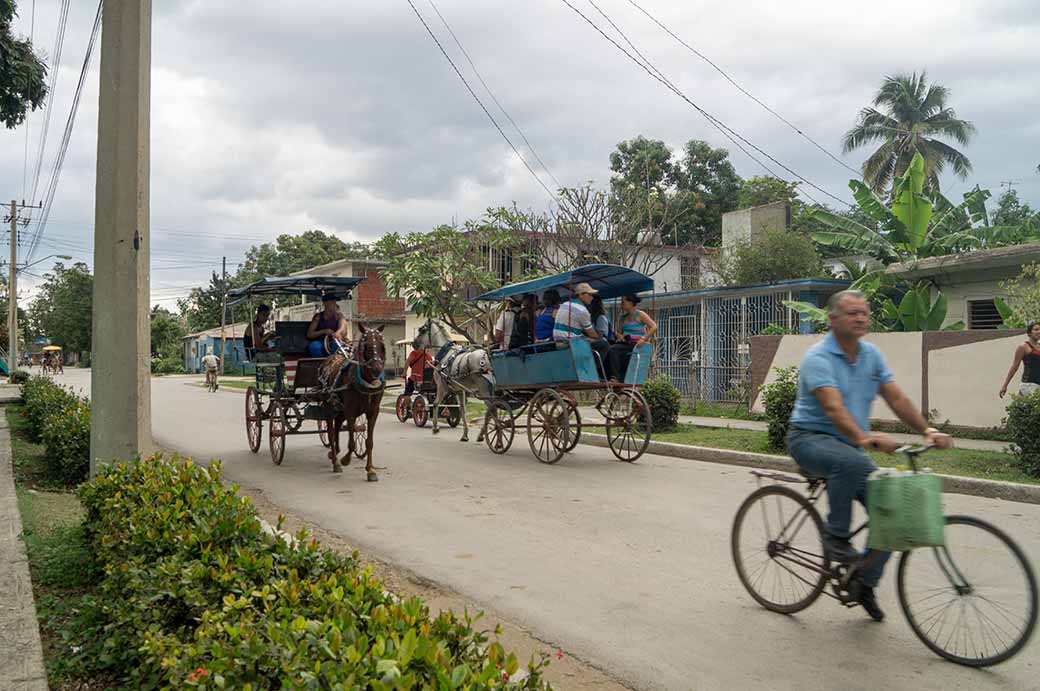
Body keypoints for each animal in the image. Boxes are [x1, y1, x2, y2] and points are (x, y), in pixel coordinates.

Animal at [324, 324, 386, 480]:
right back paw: (336, 461)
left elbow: (369, 442)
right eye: (366, 346)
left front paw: (370, 470)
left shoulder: (373, 411)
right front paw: (345, 460)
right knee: (330, 430)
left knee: (337, 425)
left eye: (382, 346)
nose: (377, 369)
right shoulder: (350, 411)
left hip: (340, 409)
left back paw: (336, 451)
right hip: (329, 406)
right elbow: (351, 442)